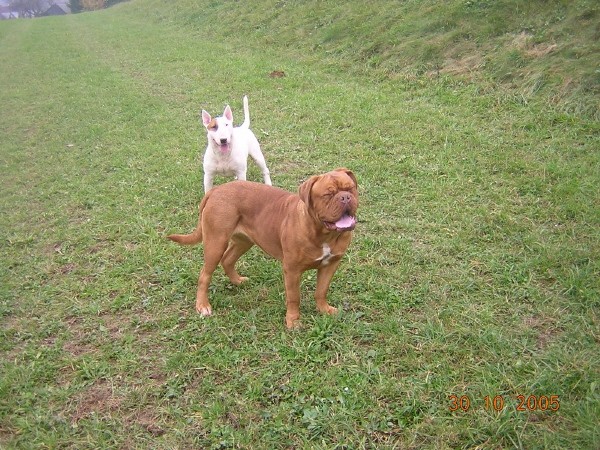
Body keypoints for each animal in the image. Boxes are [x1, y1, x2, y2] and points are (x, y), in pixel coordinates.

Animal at [166, 168, 358, 326]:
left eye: (351, 188)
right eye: (328, 195)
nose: (345, 197)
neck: (325, 234)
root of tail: (215, 190)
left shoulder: (330, 265)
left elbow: (321, 290)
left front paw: (324, 310)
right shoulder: (292, 270)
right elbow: (294, 297)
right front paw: (293, 321)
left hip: (244, 241)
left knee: (228, 259)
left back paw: (237, 281)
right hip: (216, 242)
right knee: (205, 275)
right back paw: (203, 305)